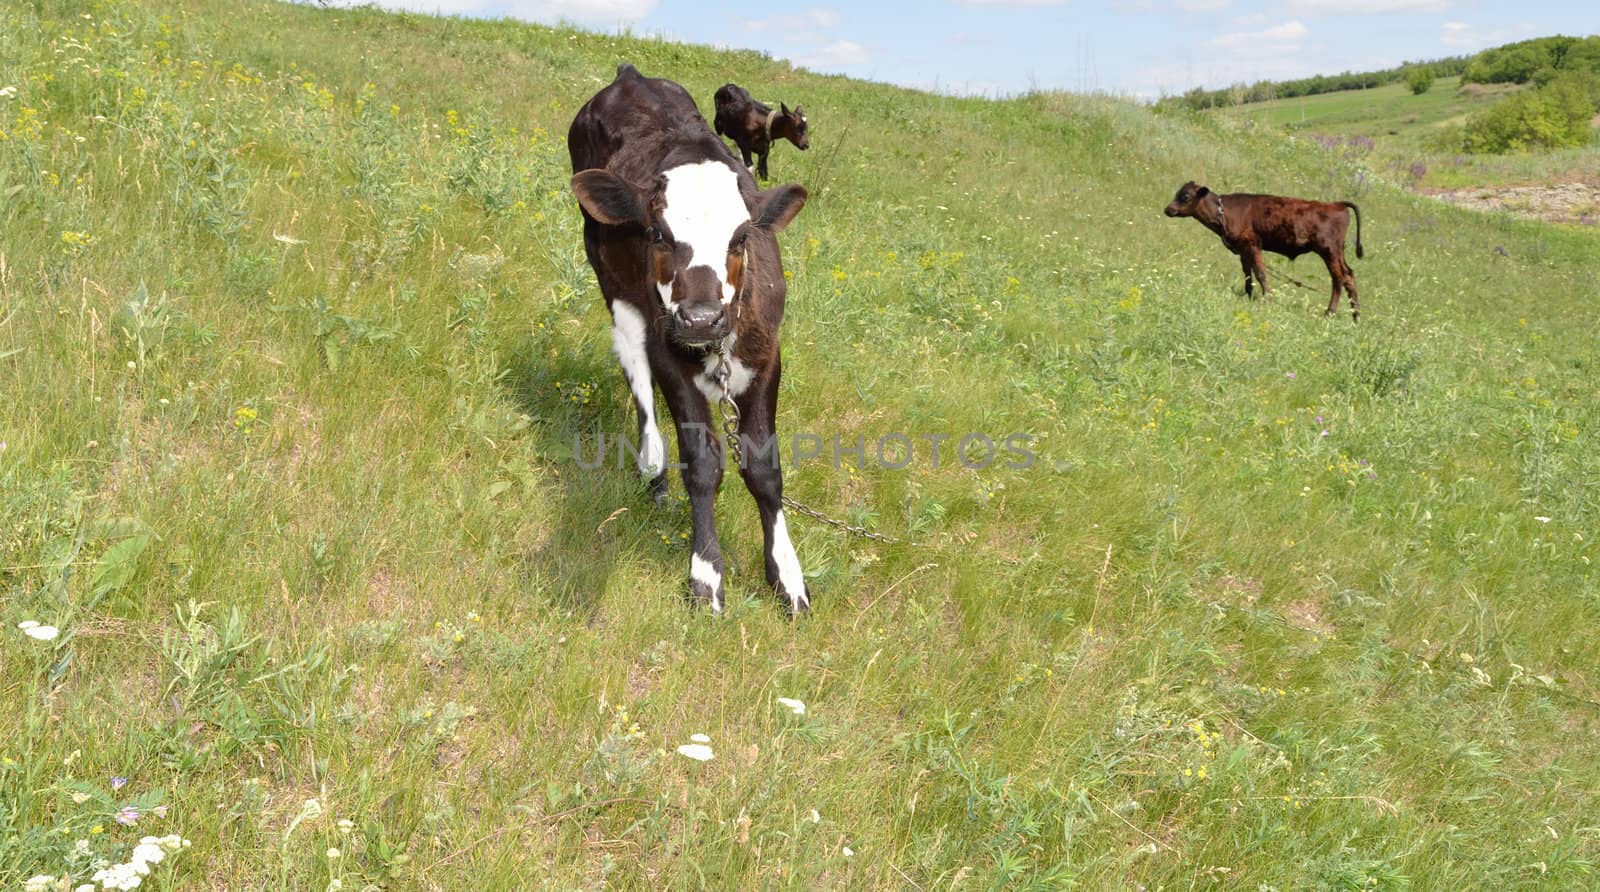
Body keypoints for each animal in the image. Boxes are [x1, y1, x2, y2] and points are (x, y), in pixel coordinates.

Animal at [569, 63, 812, 620]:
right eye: (657, 233)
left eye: (742, 237)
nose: (701, 319)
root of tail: (629, 75)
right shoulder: (670, 352)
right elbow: (702, 463)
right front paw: (706, 575)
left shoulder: (768, 356)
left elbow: (764, 468)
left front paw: (787, 575)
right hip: (611, 279)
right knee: (634, 367)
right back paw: (652, 467)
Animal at [1164, 182, 1363, 321]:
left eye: (1186, 196)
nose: (1168, 209)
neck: (1223, 213)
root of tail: (1336, 204)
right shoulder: (1243, 248)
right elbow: (1248, 274)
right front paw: (1248, 296)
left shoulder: (1253, 245)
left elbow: (1260, 273)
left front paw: (1268, 299)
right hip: (1338, 252)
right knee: (1349, 275)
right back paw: (1355, 316)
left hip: (1329, 251)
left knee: (1338, 278)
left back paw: (1330, 312)